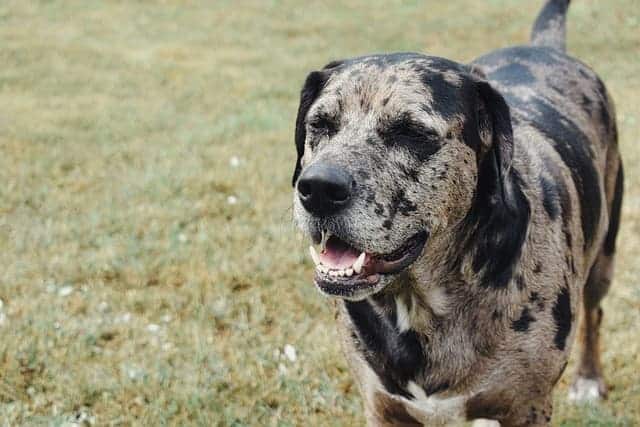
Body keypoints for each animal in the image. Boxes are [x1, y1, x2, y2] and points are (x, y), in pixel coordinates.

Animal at [292, 1, 624, 426]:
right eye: (320, 124)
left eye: (411, 132)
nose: (319, 189)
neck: (422, 302)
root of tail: (545, 47)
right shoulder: (382, 408)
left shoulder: (527, 407)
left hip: (604, 257)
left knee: (595, 314)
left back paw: (589, 378)